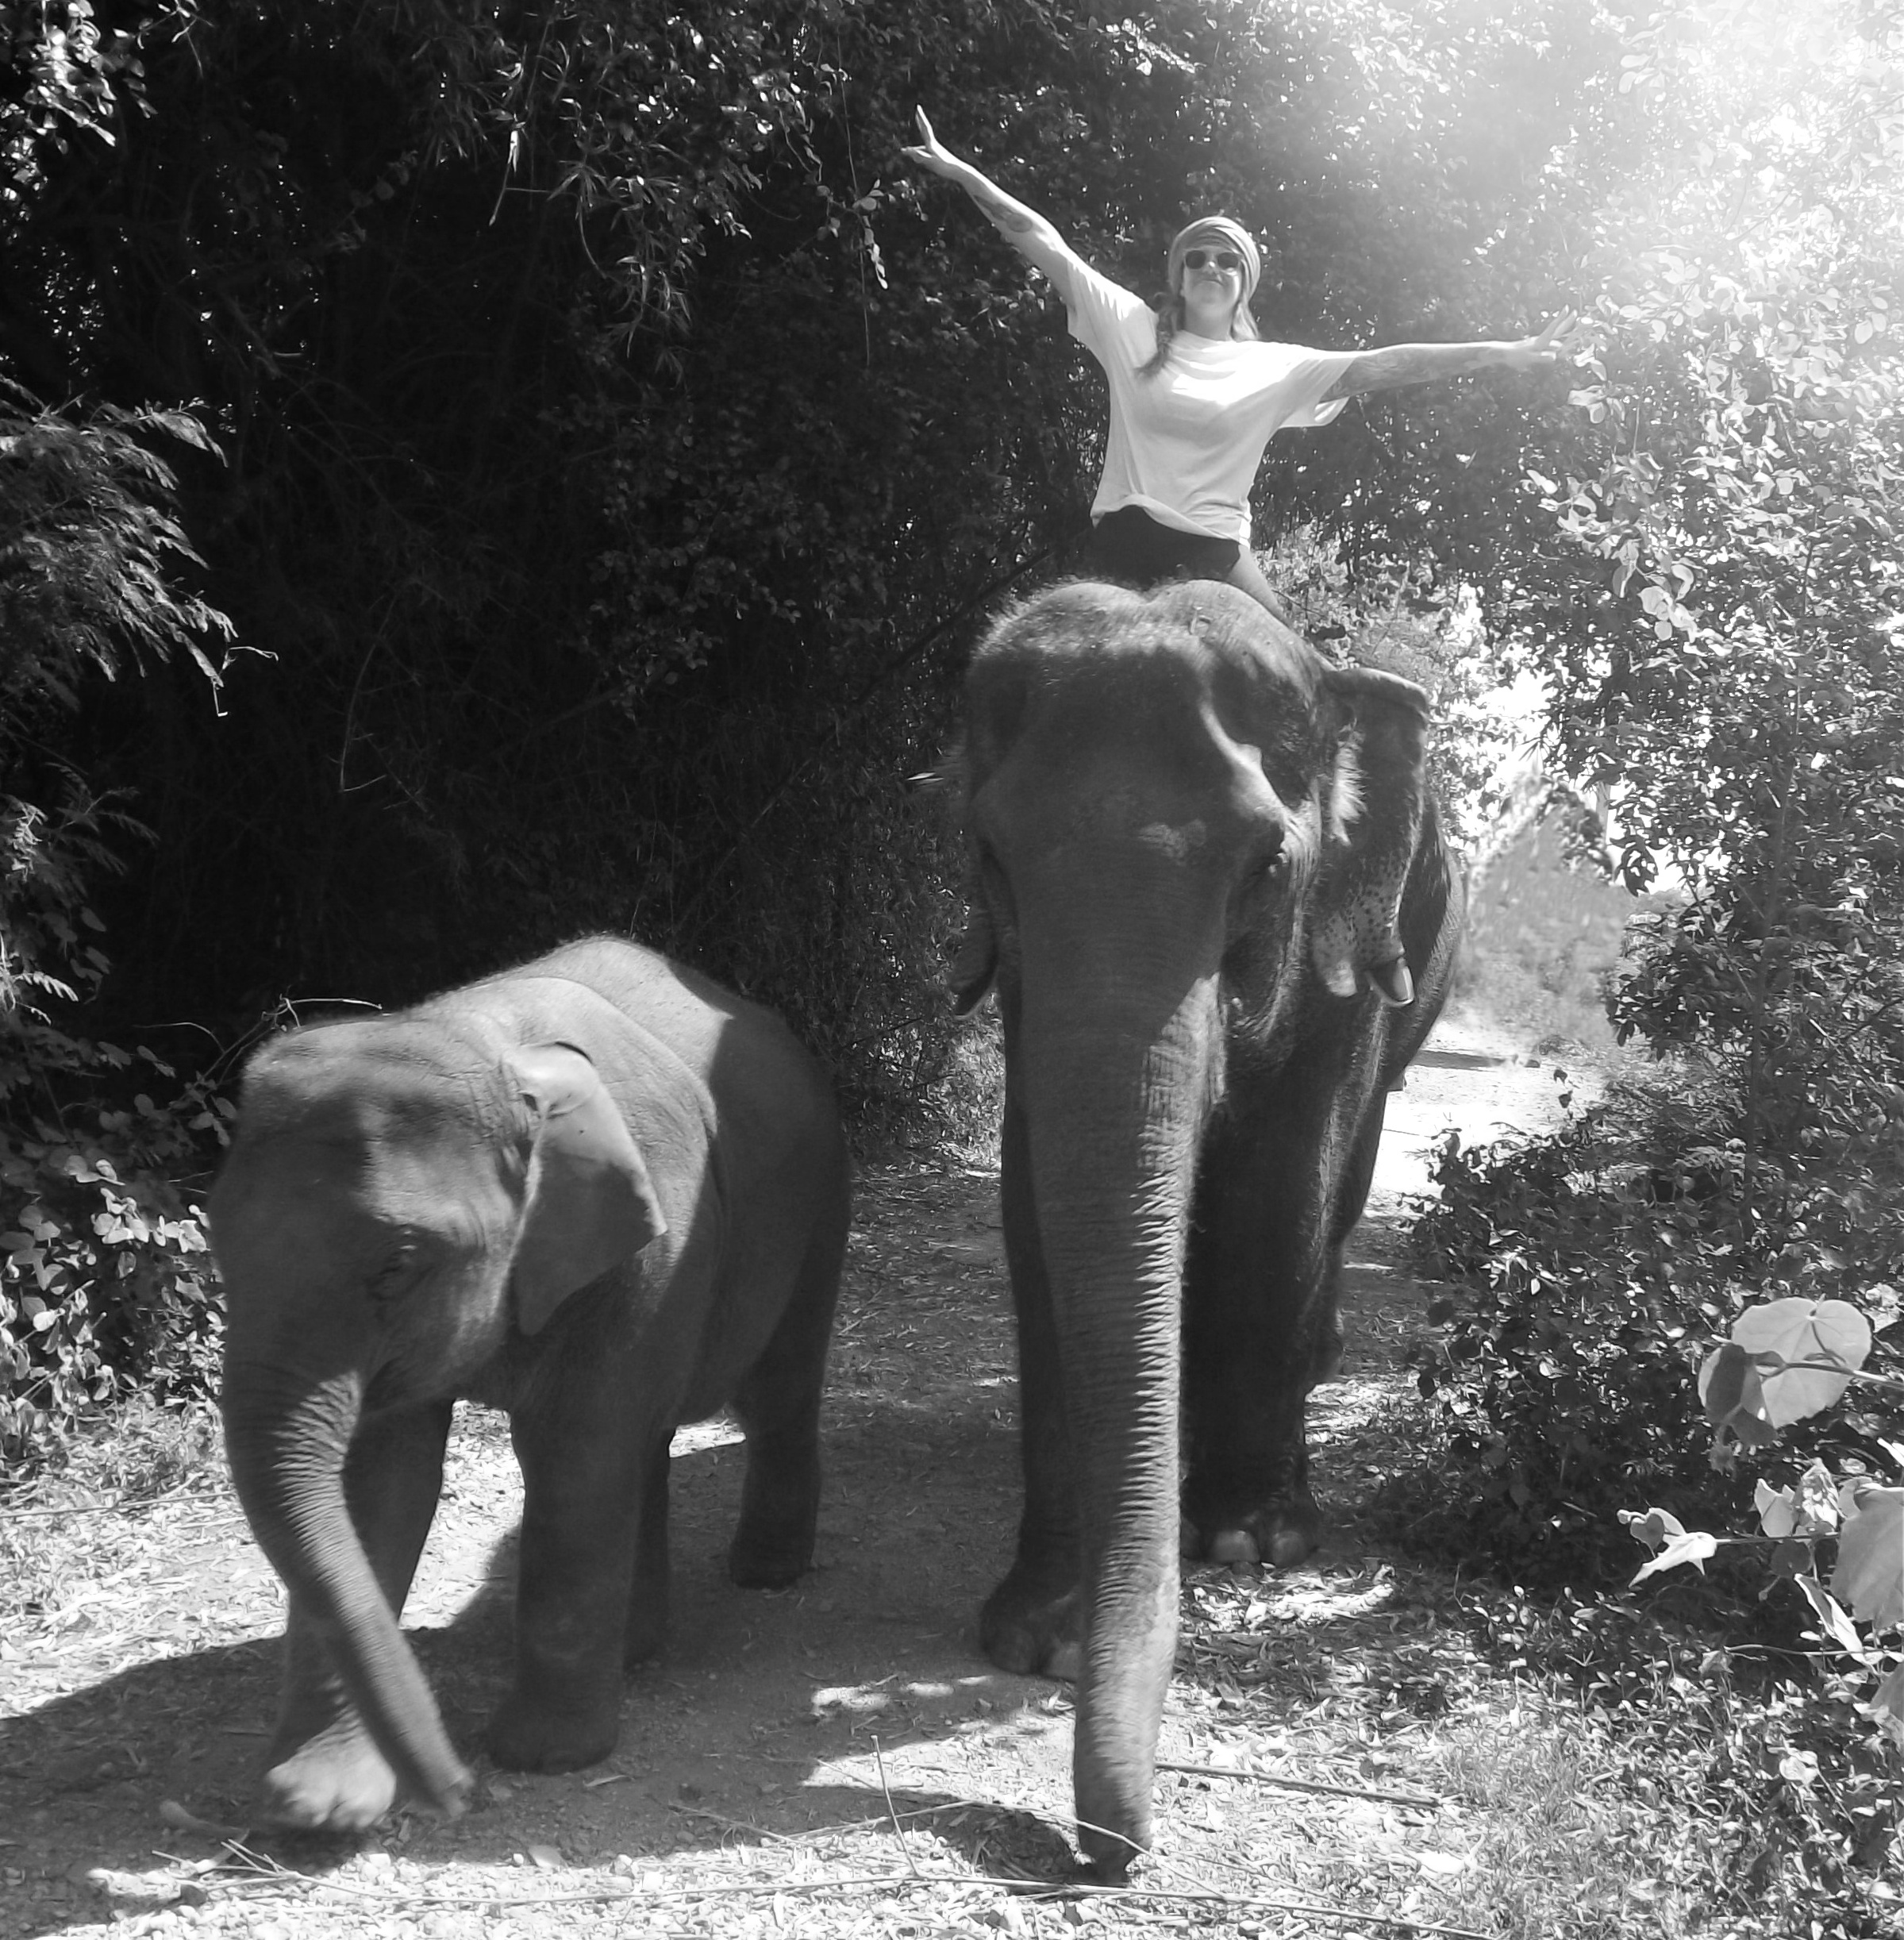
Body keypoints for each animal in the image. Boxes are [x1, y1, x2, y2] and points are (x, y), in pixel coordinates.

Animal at [209, 936, 849, 1832]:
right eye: (214, 1244)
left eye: (398, 1264)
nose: (453, 1788)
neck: (483, 1046)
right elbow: (380, 1482)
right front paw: (320, 1806)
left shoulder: (651, 1243)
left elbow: (572, 1459)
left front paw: (540, 1758)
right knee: (647, 1441)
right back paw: (637, 1650)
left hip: (820, 1198)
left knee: (775, 1391)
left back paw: (764, 1574)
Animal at [949, 579, 1463, 1879]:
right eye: (988, 854)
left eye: (1267, 862)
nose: (1110, 1845)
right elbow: (1037, 1206)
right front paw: (1040, 1635)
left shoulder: (1341, 950)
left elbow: (1282, 1187)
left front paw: (1246, 1543)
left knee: (1342, 1174)